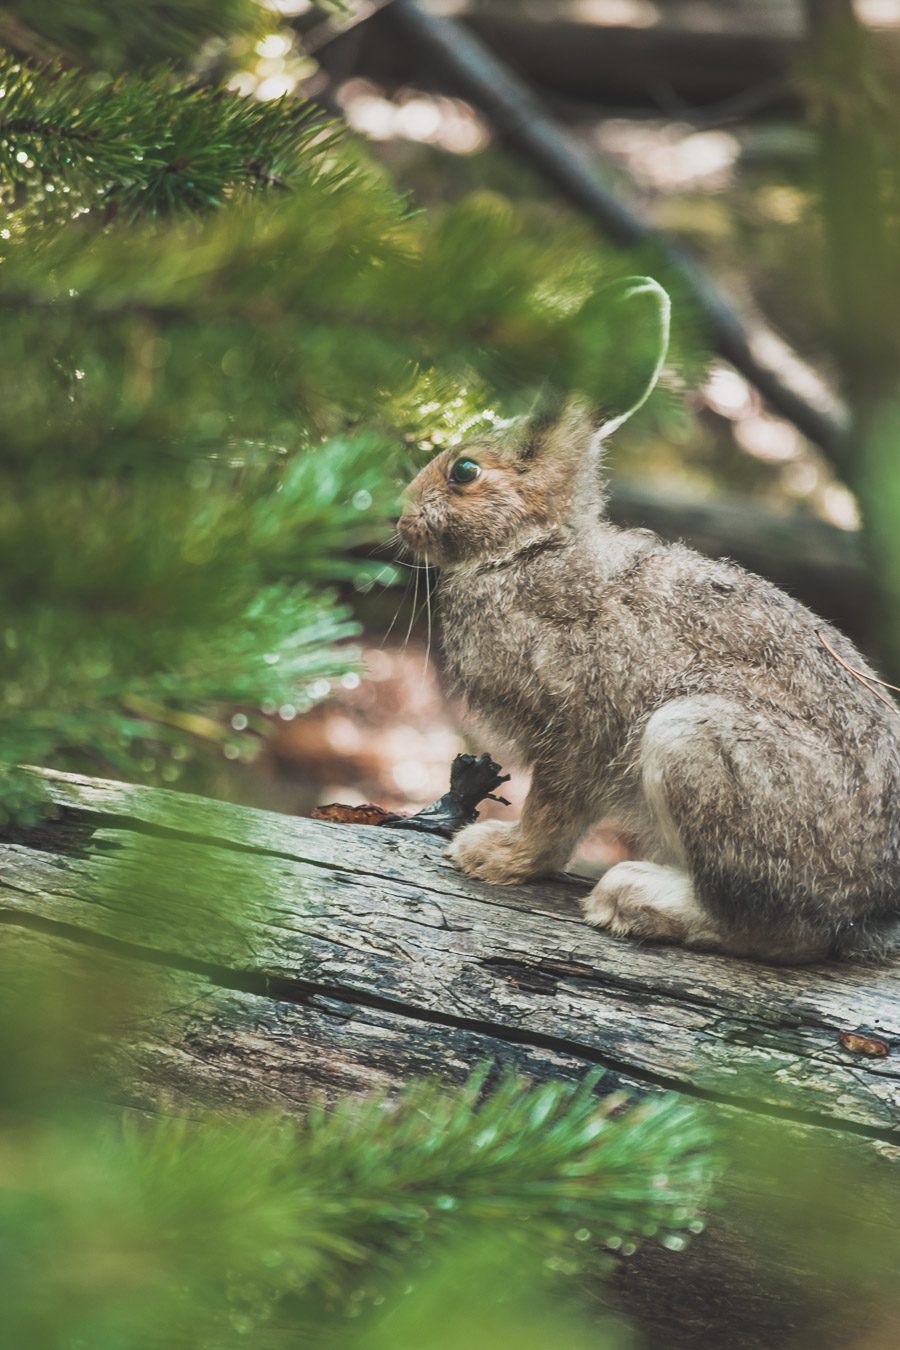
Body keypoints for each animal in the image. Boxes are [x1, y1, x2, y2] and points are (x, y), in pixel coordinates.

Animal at [396, 279, 900, 966]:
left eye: (464, 471)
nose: (399, 518)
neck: (529, 547)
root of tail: (876, 901)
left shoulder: (573, 726)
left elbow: (553, 814)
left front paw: (496, 857)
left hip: (694, 741)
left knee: (784, 933)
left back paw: (632, 899)